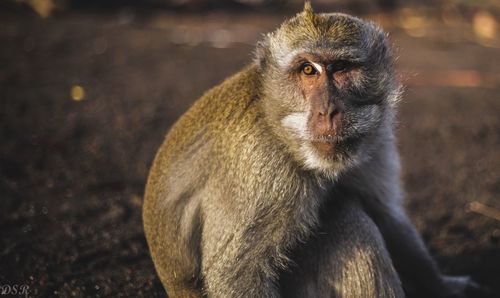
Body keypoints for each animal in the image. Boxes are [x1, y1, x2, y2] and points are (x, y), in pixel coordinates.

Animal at [143, 2, 478, 298]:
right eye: (308, 70)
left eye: (341, 68)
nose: (327, 111)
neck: (278, 128)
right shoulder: (264, 174)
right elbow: (235, 275)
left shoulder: (373, 138)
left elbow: (385, 213)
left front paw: (443, 285)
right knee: (347, 217)